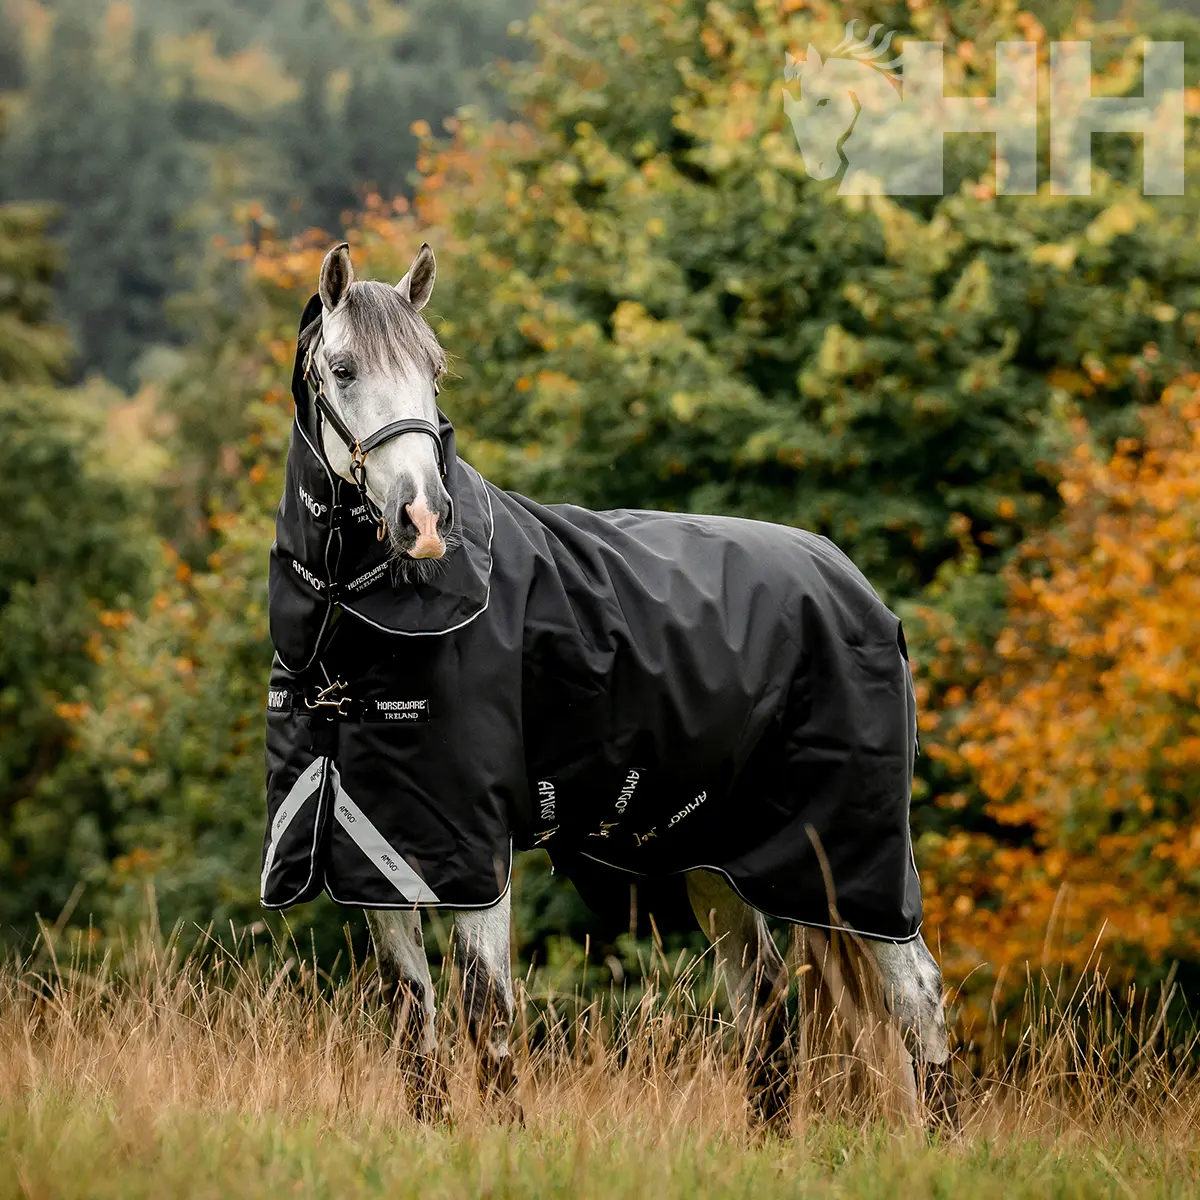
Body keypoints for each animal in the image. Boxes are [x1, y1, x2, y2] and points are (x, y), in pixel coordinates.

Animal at [261, 240, 957, 1130]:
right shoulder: (377, 854)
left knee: (919, 997)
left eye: (435, 370)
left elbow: (488, 1019)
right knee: (765, 998)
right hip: (714, 854)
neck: (352, 629)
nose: (424, 520)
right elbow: (415, 1023)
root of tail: (853, 584)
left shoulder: (470, 850)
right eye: (343, 369)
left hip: (849, 856)